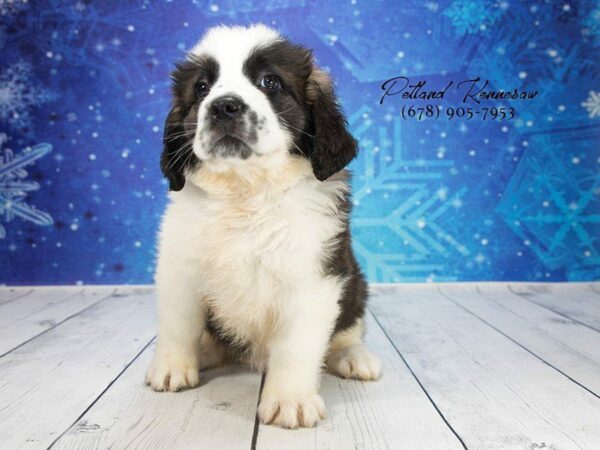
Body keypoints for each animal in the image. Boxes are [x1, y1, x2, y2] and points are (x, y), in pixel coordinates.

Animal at [145, 23, 380, 428]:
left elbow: (297, 346)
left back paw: (354, 357)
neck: (247, 194)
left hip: (355, 285)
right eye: (203, 87)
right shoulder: (179, 267)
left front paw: (290, 399)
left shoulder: (313, 278)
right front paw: (173, 366)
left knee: (348, 330)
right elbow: (178, 323)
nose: (224, 106)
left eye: (270, 82)